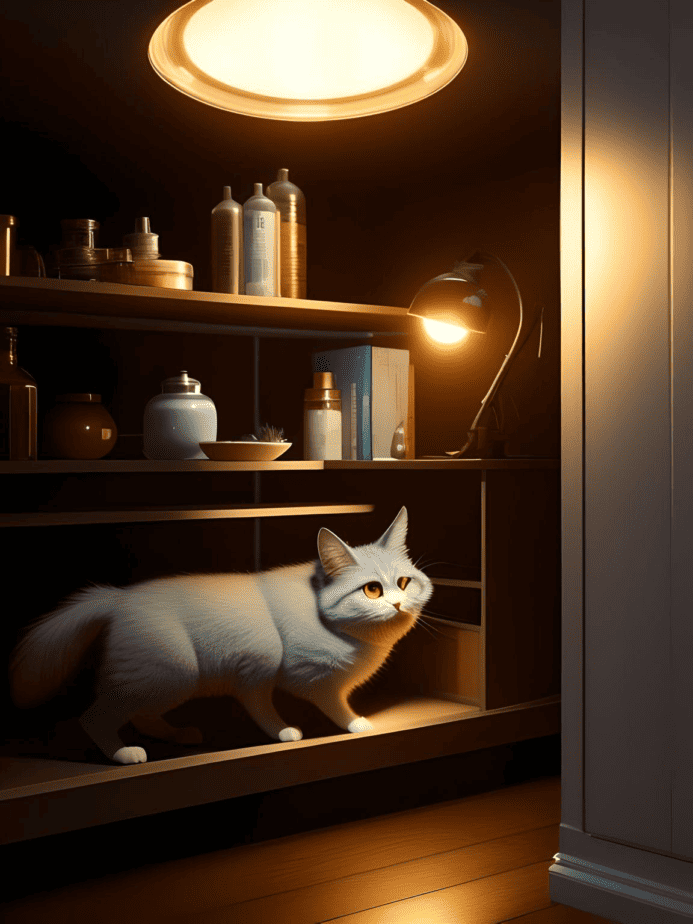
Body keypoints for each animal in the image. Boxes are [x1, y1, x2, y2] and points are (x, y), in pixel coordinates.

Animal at [9, 508, 432, 760]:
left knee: (142, 715)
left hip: (168, 680)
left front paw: (282, 731)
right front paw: (347, 724)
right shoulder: (285, 670)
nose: (398, 605)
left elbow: (261, 705)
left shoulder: (254, 675)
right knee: (93, 717)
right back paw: (123, 754)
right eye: (372, 590)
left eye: (404, 583)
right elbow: (323, 705)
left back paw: (179, 734)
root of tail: (118, 597)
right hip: (172, 671)